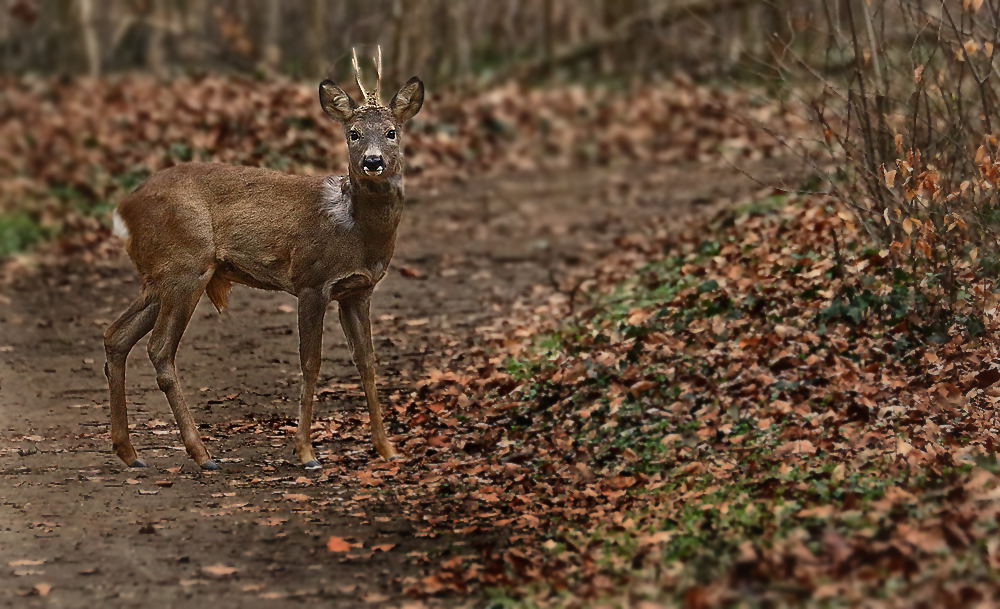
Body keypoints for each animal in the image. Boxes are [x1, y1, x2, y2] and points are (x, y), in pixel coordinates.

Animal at [103, 51, 424, 470]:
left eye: (391, 132)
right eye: (353, 133)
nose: (372, 161)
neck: (354, 229)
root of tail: (122, 211)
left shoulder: (359, 290)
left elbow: (367, 362)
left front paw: (386, 448)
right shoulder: (311, 281)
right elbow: (311, 363)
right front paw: (306, 452)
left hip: (161, 276)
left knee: (116, 336)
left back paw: (129, 452)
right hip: (185, 267)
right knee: (159, 350)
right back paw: (201, 454)